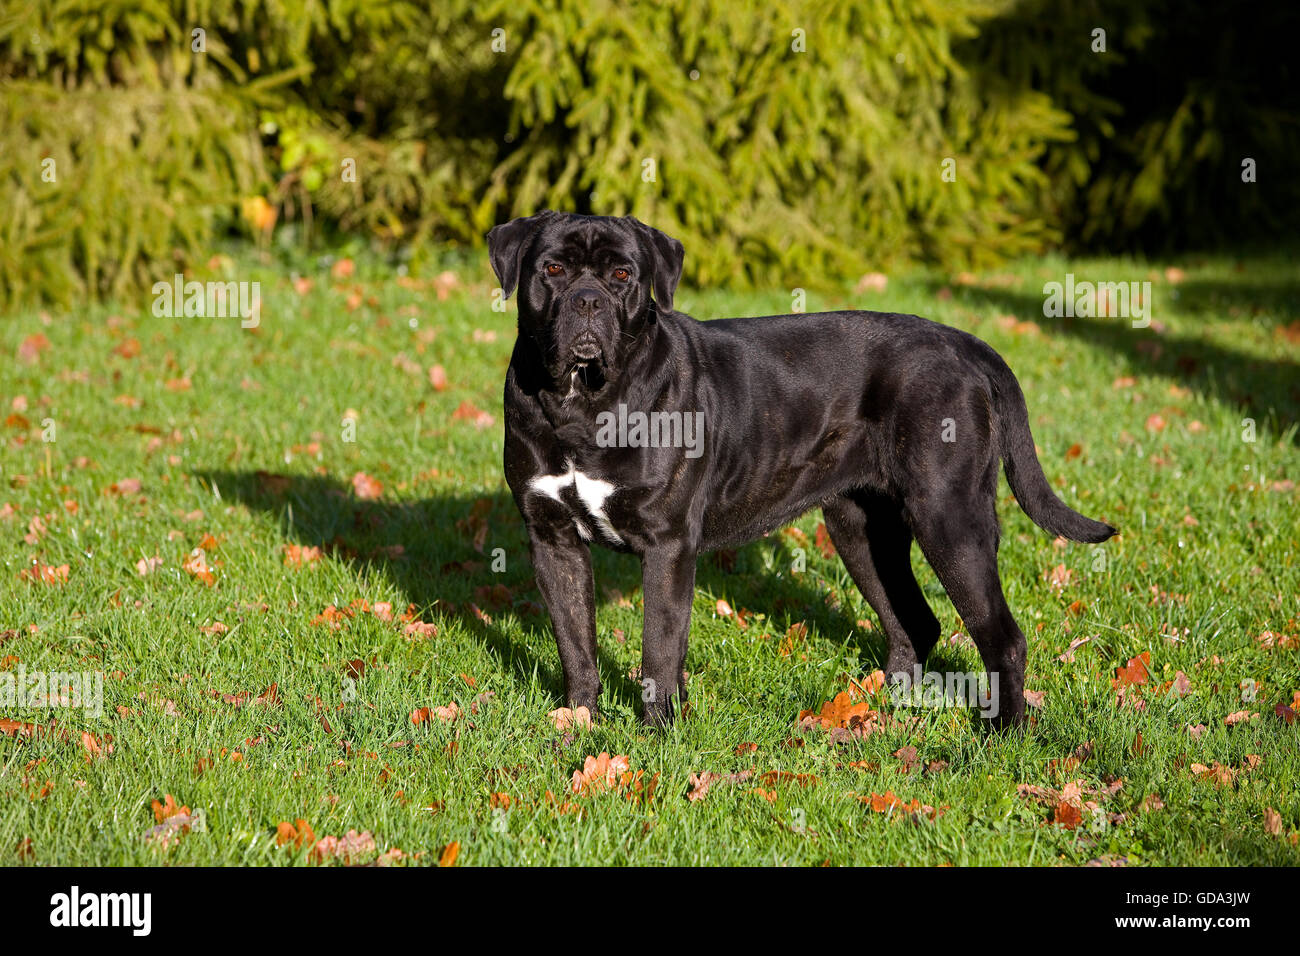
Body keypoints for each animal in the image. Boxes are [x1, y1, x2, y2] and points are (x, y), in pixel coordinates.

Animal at [488, 210, 1118, 733]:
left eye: (622, 274)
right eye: (551, 269)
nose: (587, 301)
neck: (581, 404)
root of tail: (961, 341)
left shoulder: (667, 545)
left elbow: (659, 649)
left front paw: (657, 736)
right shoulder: (553, 540)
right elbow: (576, 643)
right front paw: (579, 723)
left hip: (949, 517)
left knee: (1002, 636)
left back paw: (1003, 734)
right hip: (861, 529)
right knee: (914, 620)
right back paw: (881, 710)